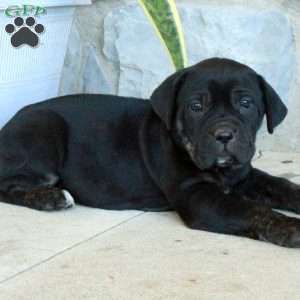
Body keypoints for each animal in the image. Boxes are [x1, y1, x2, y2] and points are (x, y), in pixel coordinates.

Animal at [0, 57, 300, 247]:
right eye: (196, 107)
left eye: (246, 104)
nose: (224, 135)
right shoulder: (199, 197)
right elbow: (252, 210)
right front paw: (290, 227)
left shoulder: (244, 176)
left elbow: (280, 185)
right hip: (44, 129)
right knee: (8, 185)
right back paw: (51, 198)